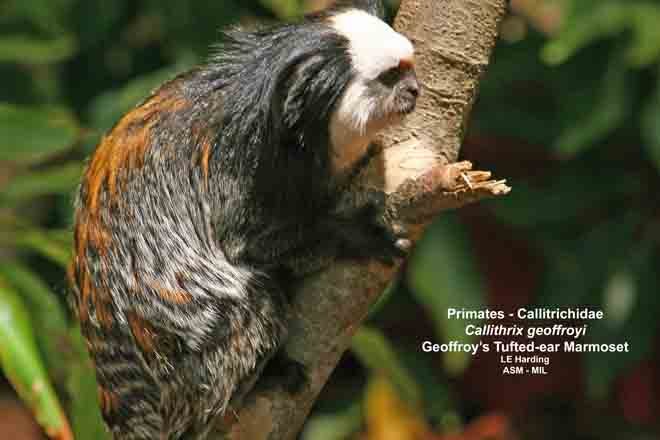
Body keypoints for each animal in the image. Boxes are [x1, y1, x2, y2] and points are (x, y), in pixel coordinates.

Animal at [68, 0, 419, 438]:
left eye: (408, 67)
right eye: (390, 76)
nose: (414, 89)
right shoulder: (244, 172)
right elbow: (249, 246)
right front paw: (356, 234)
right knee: (255, 301)